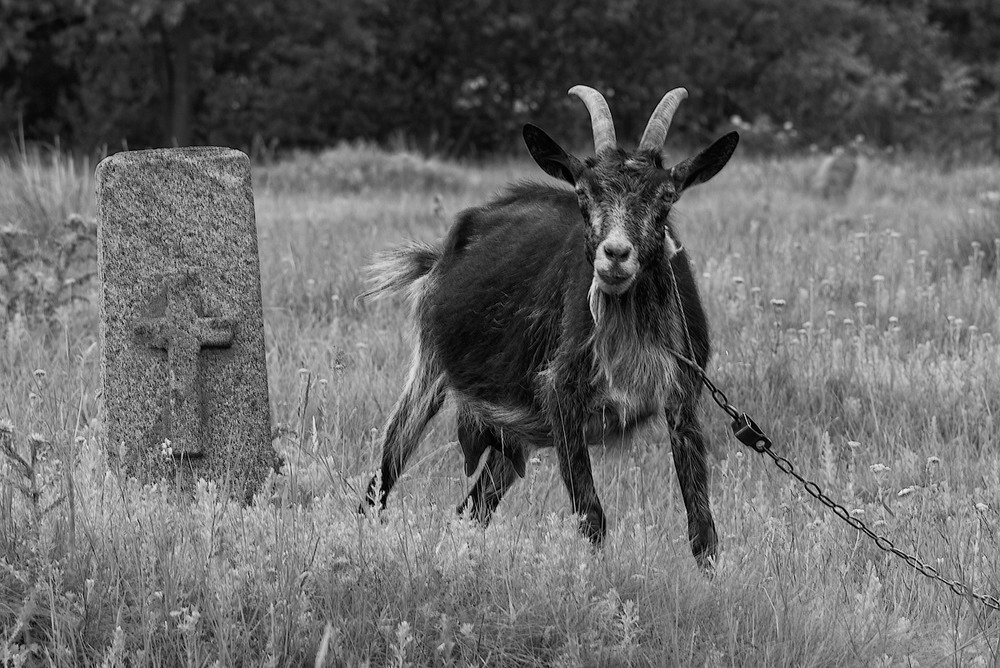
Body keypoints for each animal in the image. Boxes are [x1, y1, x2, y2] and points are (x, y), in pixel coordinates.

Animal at [360, 85, 736, 568]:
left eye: (667, 197)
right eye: (583, 193)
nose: (615, 255)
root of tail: (443, 250)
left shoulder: (682, 397)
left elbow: (702, 527)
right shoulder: (561, 394)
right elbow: (591, 516)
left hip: (514, 432)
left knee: (469, 509)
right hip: (430, 368)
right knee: (384, 474)